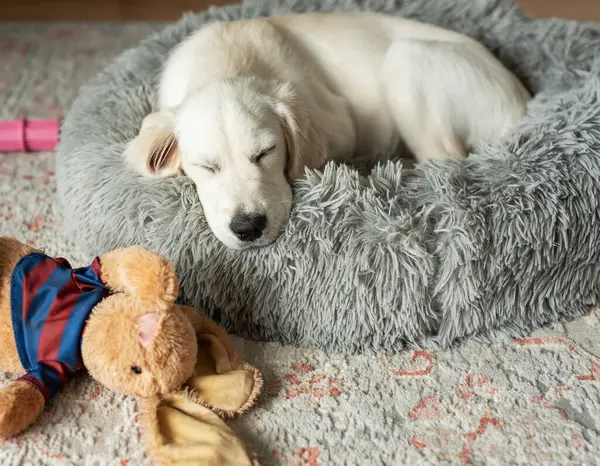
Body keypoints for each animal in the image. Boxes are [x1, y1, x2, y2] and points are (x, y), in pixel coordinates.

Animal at [123, 10, 528, 249]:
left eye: (266, 152)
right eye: (206, 167)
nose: (248, 228)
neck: (228, 60)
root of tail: (522, 102)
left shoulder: (340, 122)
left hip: (406, 59)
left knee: (444, 161)